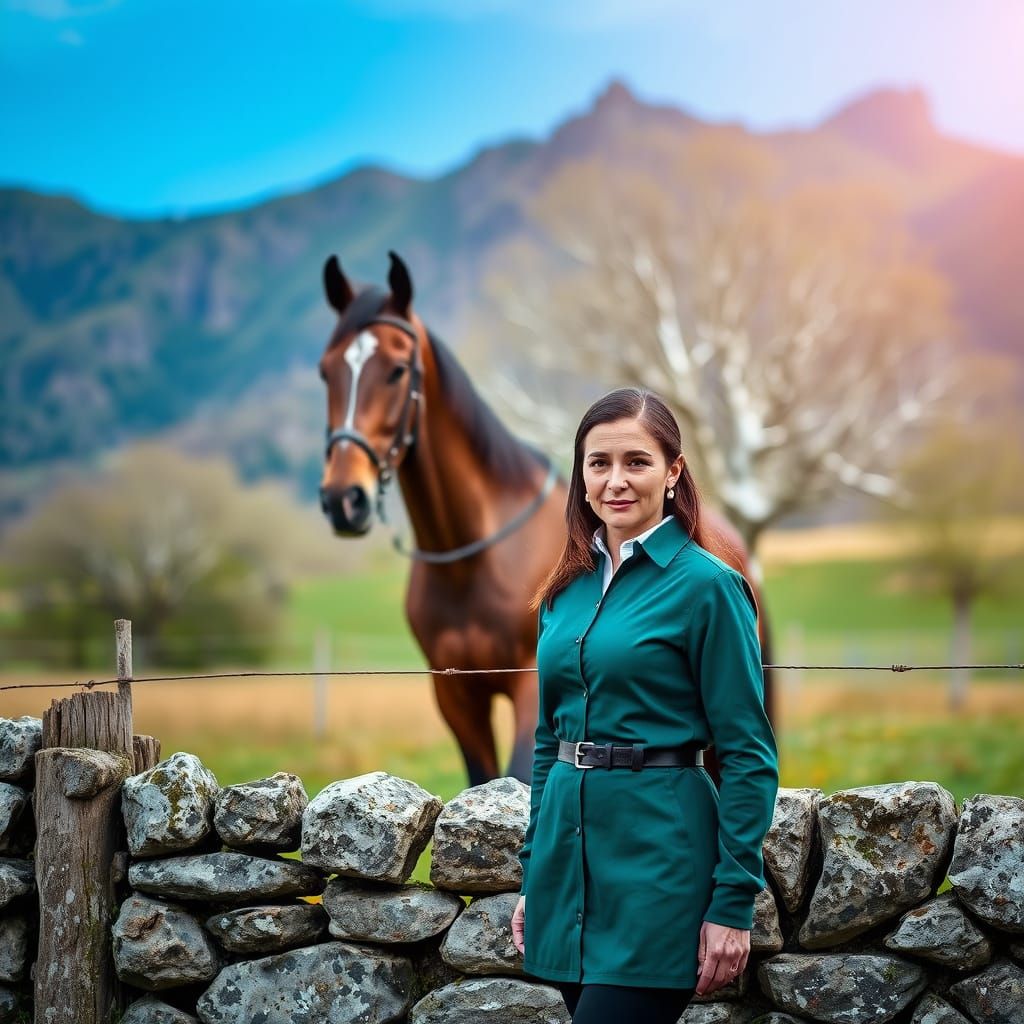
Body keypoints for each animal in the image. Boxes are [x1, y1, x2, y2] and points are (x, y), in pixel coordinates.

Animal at [317, 251, 775, 788]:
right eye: (326, 372)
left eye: (397, 369)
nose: (344, 498)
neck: (475, 558)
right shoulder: (455, 696)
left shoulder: (526, 685)